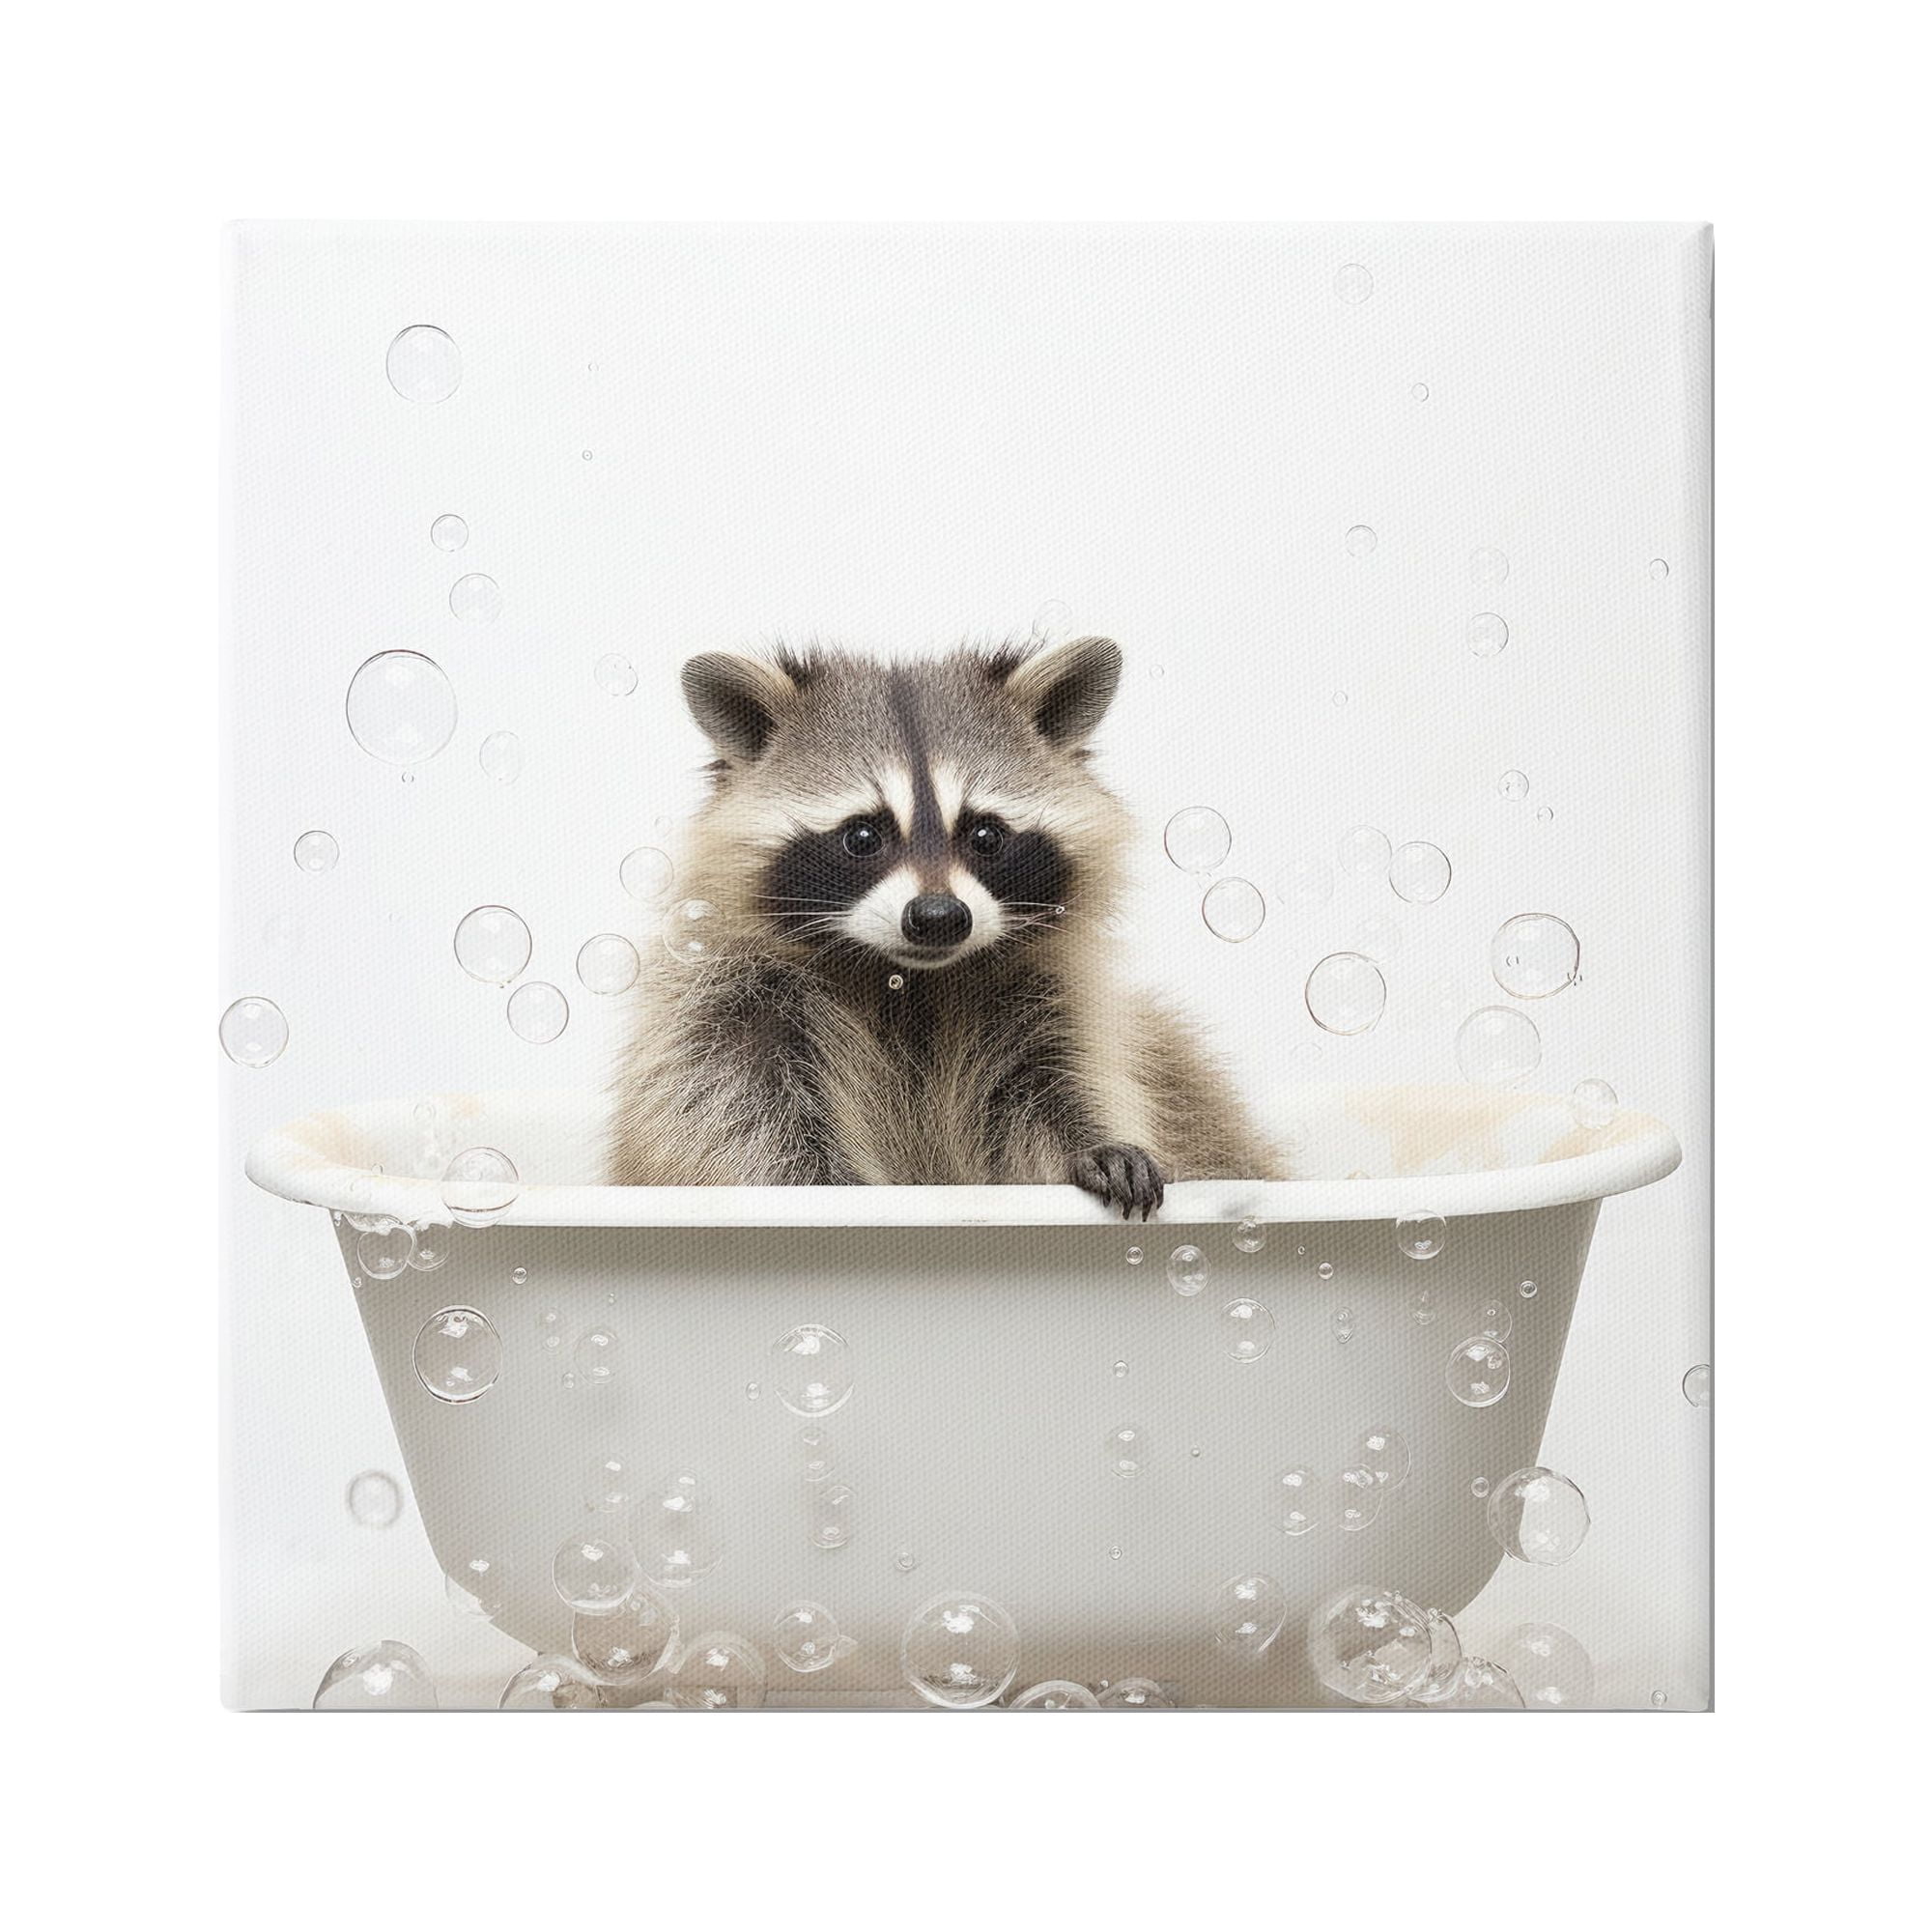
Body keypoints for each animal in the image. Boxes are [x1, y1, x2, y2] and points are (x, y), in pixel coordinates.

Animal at [608, 635, 1281, 1216]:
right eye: (862, 836)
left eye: (985, 835)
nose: (938, 918)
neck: (909, 976)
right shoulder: (727, 995)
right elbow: (727, 1108)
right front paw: (817, 1182)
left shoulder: (1050, 994)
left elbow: (1060, 1081)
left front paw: (1094, 1139)